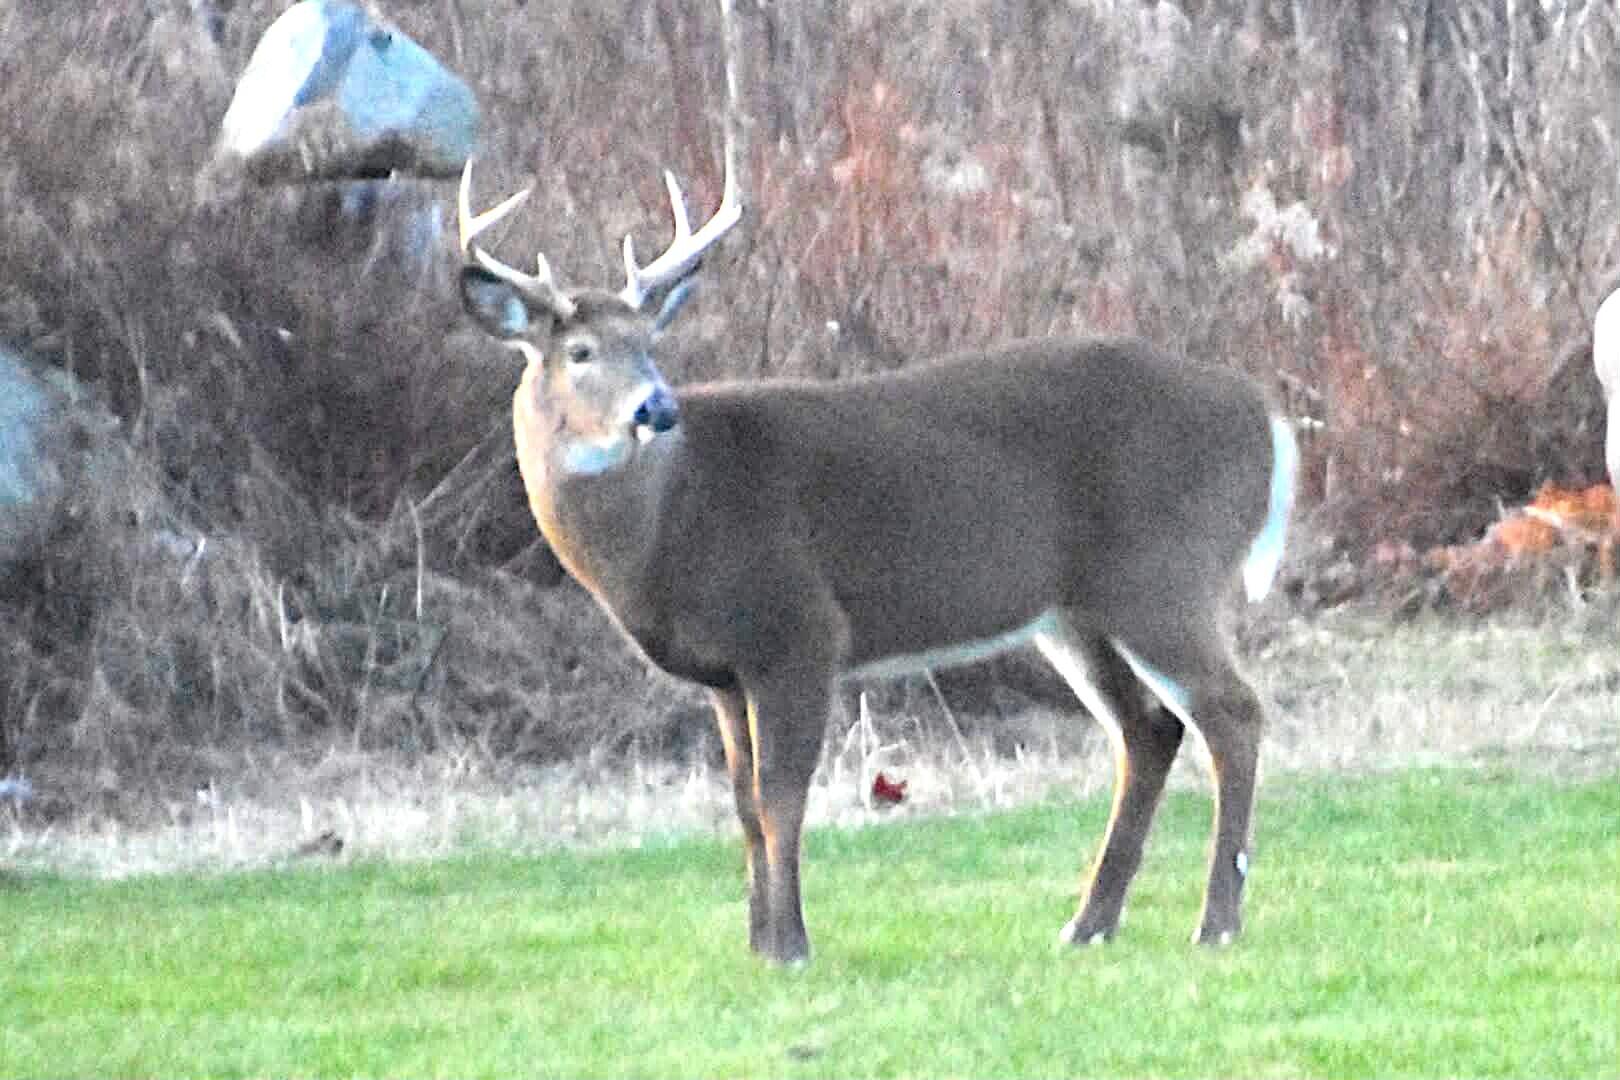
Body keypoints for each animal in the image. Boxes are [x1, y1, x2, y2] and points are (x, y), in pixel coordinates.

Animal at [455, 156, 1298, 966]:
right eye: (580, 351)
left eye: (649, 345)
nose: (655, 407)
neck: (670, 525)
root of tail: (1265, 415)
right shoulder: (725, 674)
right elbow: (741, 803)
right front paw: (757, 941)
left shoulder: (798, 629)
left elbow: (780, 797)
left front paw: (790, 944)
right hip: (1076, 615)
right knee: (1148, 731)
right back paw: (1088, 925)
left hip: (1164, 574)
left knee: (1233, 712)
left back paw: (1215, 922)